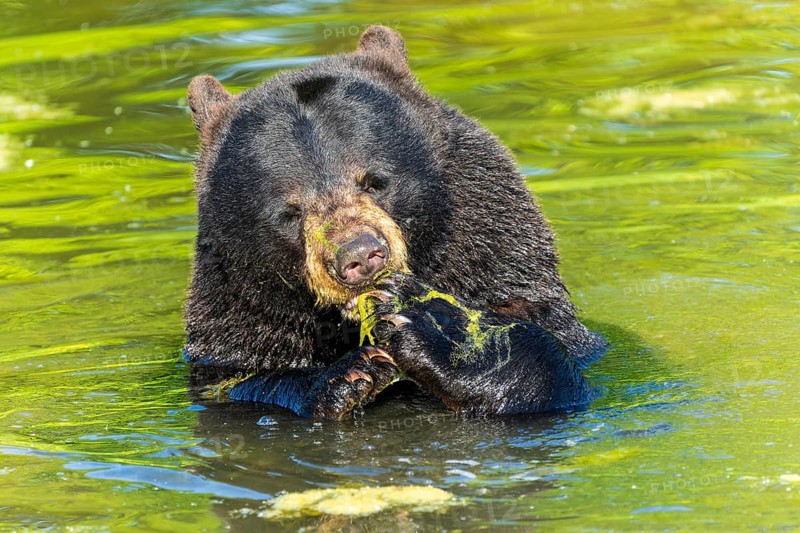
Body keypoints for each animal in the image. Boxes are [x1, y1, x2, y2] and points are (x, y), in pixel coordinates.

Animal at [184, 25, 607, 419]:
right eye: (291, 211)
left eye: (375, 180)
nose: (360, 256)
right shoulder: (242, 324)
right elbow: (239, 378)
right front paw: (346, 375)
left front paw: (434, 325)